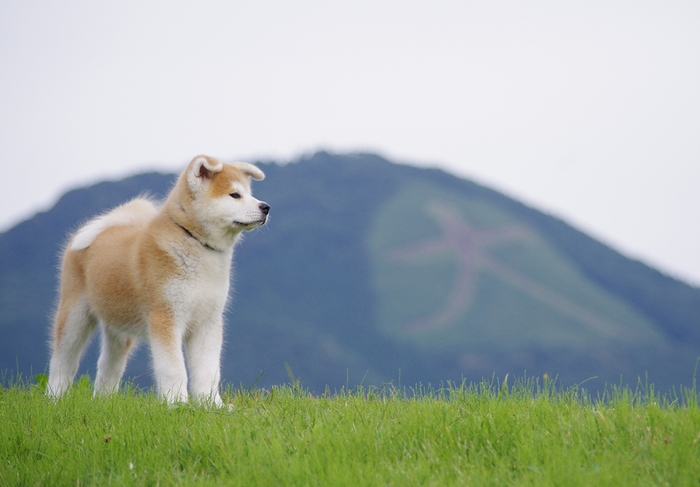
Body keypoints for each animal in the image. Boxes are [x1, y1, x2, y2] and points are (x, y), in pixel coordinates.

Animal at [46, 156, 270, 408]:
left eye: (250, 193)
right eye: (234, 195)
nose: (265, 207)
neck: (195, 242)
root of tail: (108, 224)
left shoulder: (208, 322)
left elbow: (209, 370)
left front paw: (212, 405)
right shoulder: (166, 317)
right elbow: (174, 369)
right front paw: (177, 404)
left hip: (119, 328)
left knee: (108, 365)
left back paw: (104, 402)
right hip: (75, 315)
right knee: (63, 361)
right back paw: (54, 399)